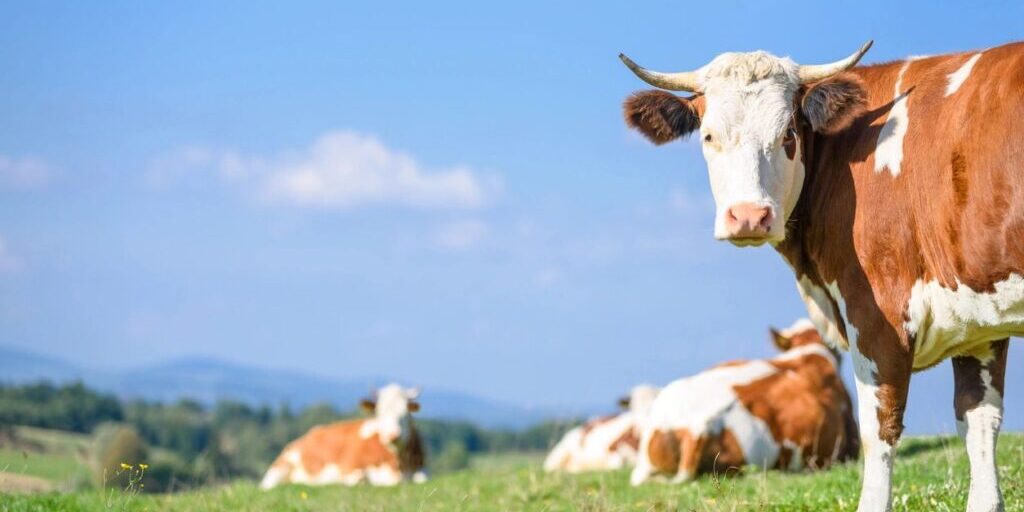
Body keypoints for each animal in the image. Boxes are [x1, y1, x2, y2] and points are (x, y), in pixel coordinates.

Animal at [259, 384, 426, 488]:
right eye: (379, 413)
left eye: (405, 413)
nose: (393, 435)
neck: (398, 464)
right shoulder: (350, 469)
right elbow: (358, 480)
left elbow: (421, 480)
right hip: (279, 469)